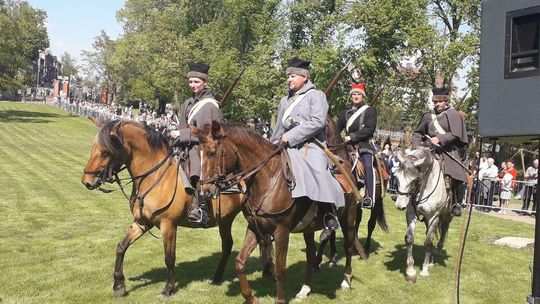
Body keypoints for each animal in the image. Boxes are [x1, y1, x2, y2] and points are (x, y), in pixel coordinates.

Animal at [80, 120, 272, 298]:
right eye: (93, 147)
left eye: (105, 151)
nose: (86, 181)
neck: (155, 176)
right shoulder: (142, 223)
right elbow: (121, 247)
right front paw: (119, 285)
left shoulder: (168, 225)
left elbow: (169, 258)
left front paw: (168, 289)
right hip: (227, 220)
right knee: (230, 245)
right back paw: (219, 277)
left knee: (262, 241)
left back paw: (266, 272)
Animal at [195, 121, 358, 304]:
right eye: (198, 153)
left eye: (212, 152)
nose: (204, 192)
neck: (269, 178)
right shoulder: (255, 227)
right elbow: (240, 262)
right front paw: (250, 297)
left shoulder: (281, 231)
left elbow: (280, 269)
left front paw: (279, 299)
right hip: (308, 229)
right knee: (310, 254)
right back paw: (305, 289)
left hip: (348, 221)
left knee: (348, 246)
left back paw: (346, 280)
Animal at [392, 147, 452, 282]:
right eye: (396, 177)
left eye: (414, 180)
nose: (399, 205)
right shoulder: (411, 214)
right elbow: (409, 238)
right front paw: (410, 270)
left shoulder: (434, 216)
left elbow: (428, 242)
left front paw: (424, 269)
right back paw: (431, 260)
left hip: (446, 215)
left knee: (444, 229)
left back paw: (438, 250)